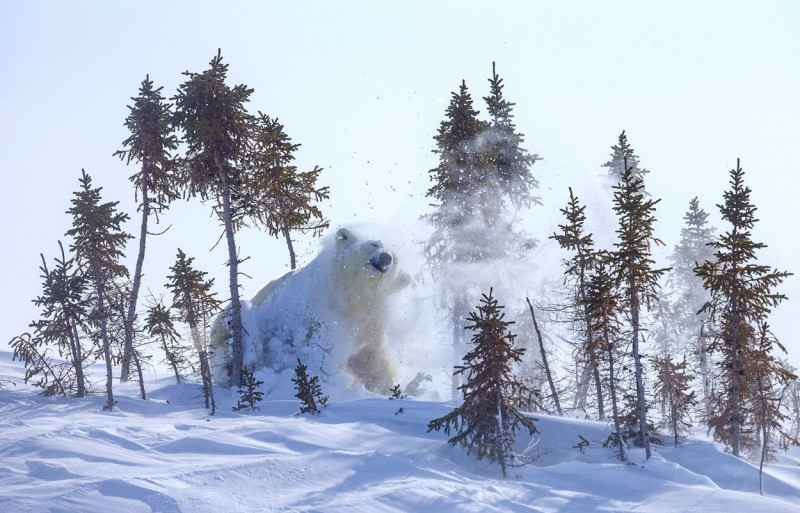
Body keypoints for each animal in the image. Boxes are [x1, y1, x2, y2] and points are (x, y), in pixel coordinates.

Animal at [208, 227, 406, 392]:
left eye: (396, 261)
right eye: (374, 244)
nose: (386, 257)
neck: (350, 298)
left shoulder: (370, 322)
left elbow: (371, 358)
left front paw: (386, 388)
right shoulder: (322, 312)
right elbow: (322, 351)